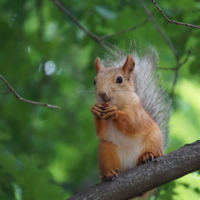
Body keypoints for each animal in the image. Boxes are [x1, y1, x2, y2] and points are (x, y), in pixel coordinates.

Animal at [90, 48, 170, 192]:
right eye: (94, 81)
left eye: (119, 79)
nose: (101, 94)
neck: (117, 104)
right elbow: (101, 131)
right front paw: (96, 110)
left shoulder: (136, 111)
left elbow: (132, 123)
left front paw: (115, 113)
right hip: (106, 151)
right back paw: (108, 174)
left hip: (154, 140)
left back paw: (147, 156)